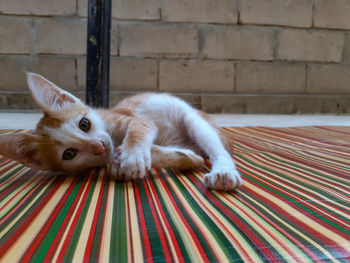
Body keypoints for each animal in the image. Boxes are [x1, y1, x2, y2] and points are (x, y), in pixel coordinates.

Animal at [0, 73, 242, 191]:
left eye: (84, 124)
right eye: (69, 154)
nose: (99, 147)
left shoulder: (133, 118)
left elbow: (140, 128)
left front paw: (132, 155)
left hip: (193, 120)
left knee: (217, 149)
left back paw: (223, 171)